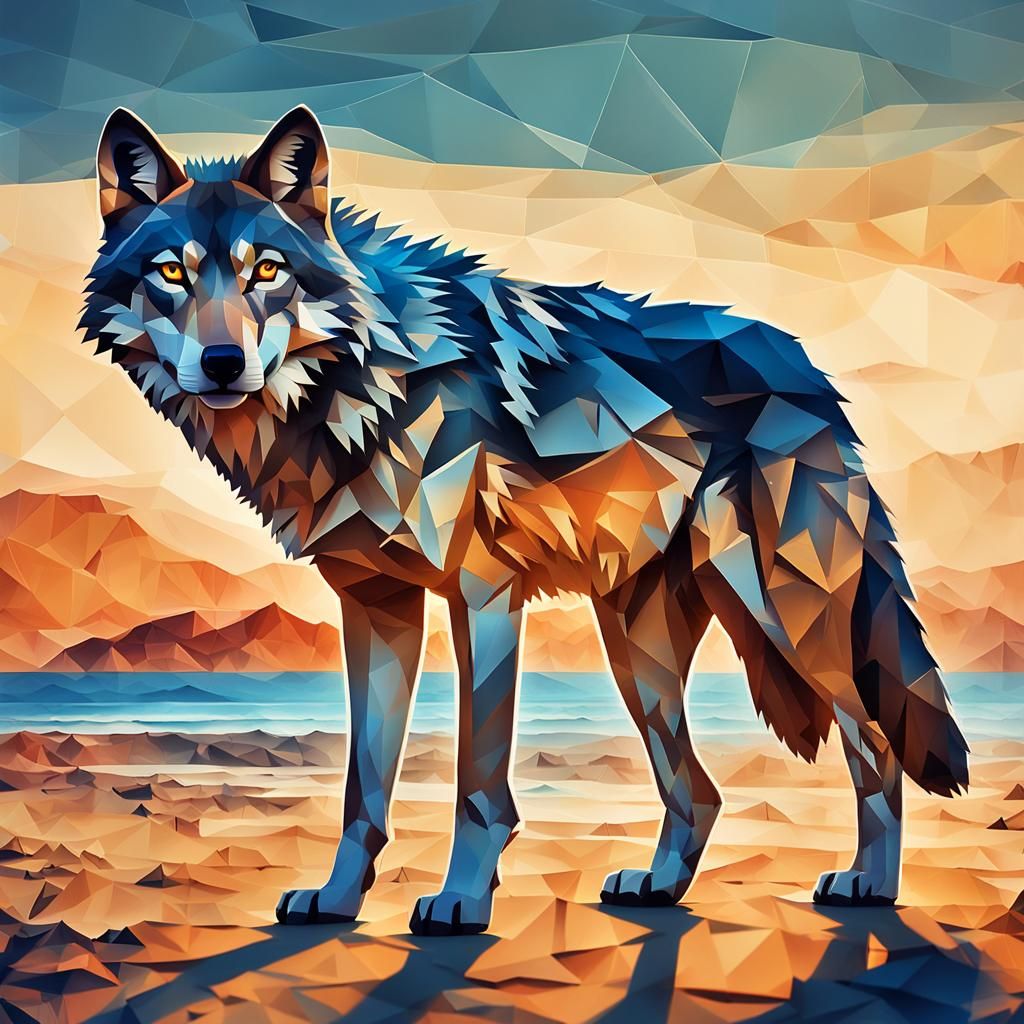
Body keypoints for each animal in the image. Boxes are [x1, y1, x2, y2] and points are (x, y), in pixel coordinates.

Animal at [81, 106, 969, 935]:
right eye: (171, 272)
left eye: (266, 270)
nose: (223, 364)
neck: (369, 380)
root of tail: (809, 367)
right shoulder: (376, 609)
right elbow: (364, 789)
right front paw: (337, 899)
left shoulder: (483, 596)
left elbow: (478, 781)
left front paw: (461, 901)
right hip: (639, 651)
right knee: (701, 789)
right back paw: (660, 886)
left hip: (784, 615)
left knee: (875, 745)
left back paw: (870, 886)